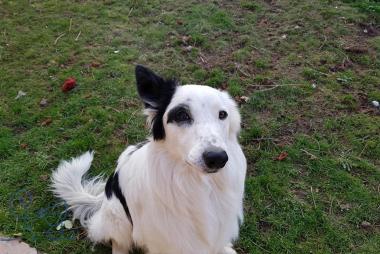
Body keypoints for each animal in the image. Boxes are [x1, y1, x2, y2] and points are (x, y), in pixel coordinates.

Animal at [51, 66, 246, 254]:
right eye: (182, 115)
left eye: (222, 114)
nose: (217, 158)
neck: (196, 183)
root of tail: (103, 197)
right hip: (118, 217)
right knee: (118, 242)